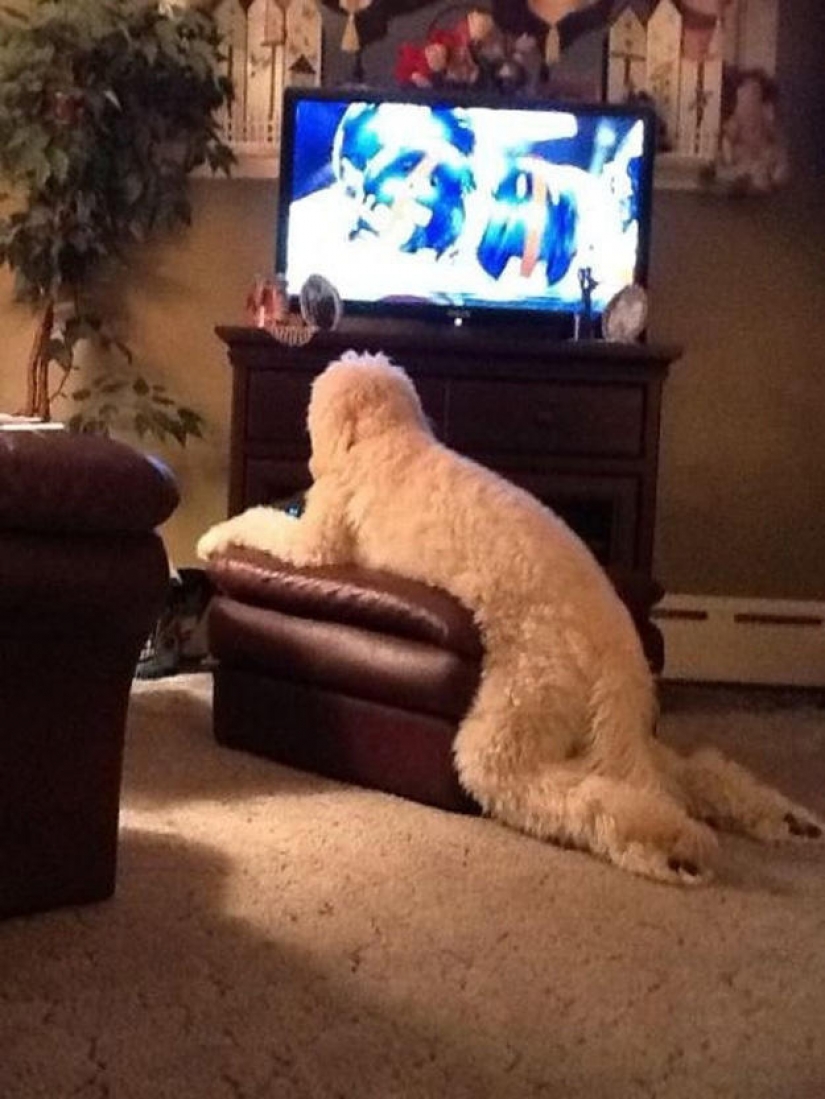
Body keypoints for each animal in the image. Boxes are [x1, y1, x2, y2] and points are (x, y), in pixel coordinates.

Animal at [198, 351, 821, 883]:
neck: (393, 437)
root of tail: (618, 657)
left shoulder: (321, 536)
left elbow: (267, 525)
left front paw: (212, 537)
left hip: (518, 715)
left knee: (572, 794)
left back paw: (671, 848)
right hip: (605, 735)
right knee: (689, 772)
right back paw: (783, 821)